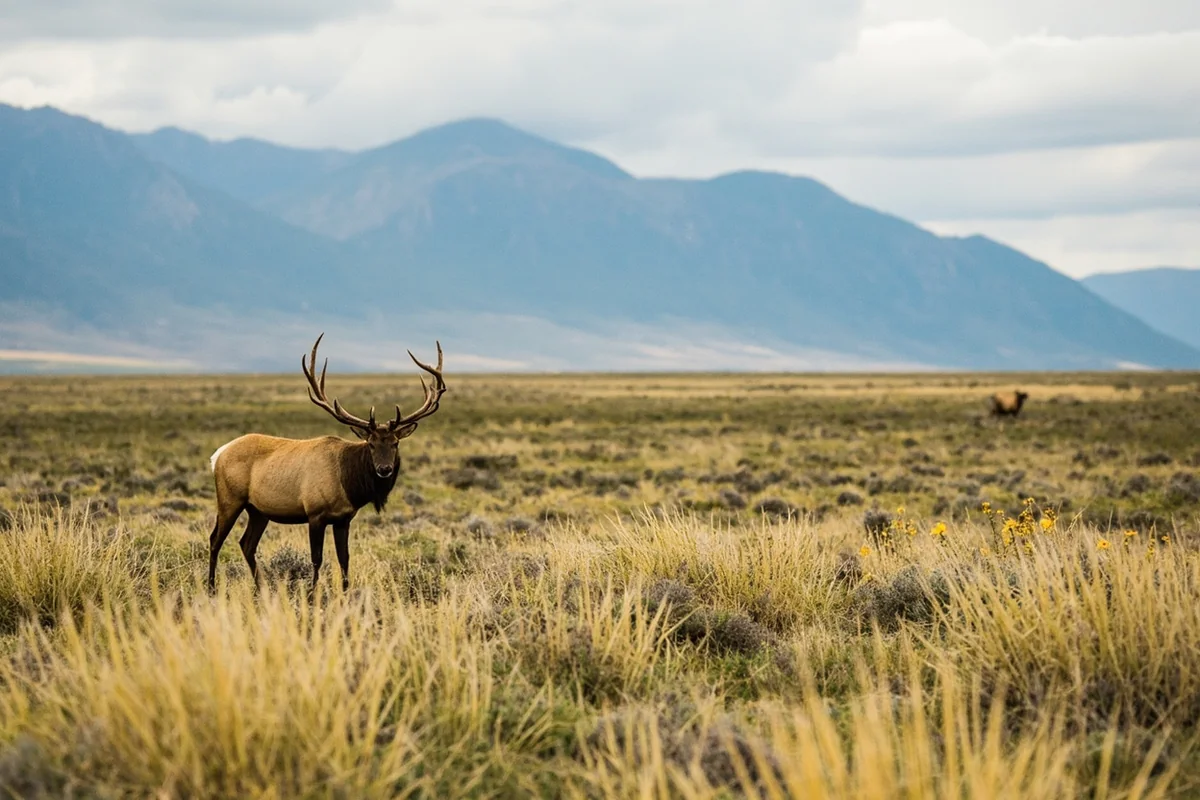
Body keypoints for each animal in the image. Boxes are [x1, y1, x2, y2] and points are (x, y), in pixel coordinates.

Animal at [207, 334, 446, 592]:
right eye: (371, 443)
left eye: (395, 443)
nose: (385, 469)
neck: (349, 484)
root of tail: (217, 455)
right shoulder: (315, 514)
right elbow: (317, 558)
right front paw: (312, 594)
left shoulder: (343, 519)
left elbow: (344, 558)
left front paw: (346, 592)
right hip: (230, 499)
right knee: (215, 539)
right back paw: (211, 588)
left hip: (258, 510)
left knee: (246, 543)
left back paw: (262, 589)